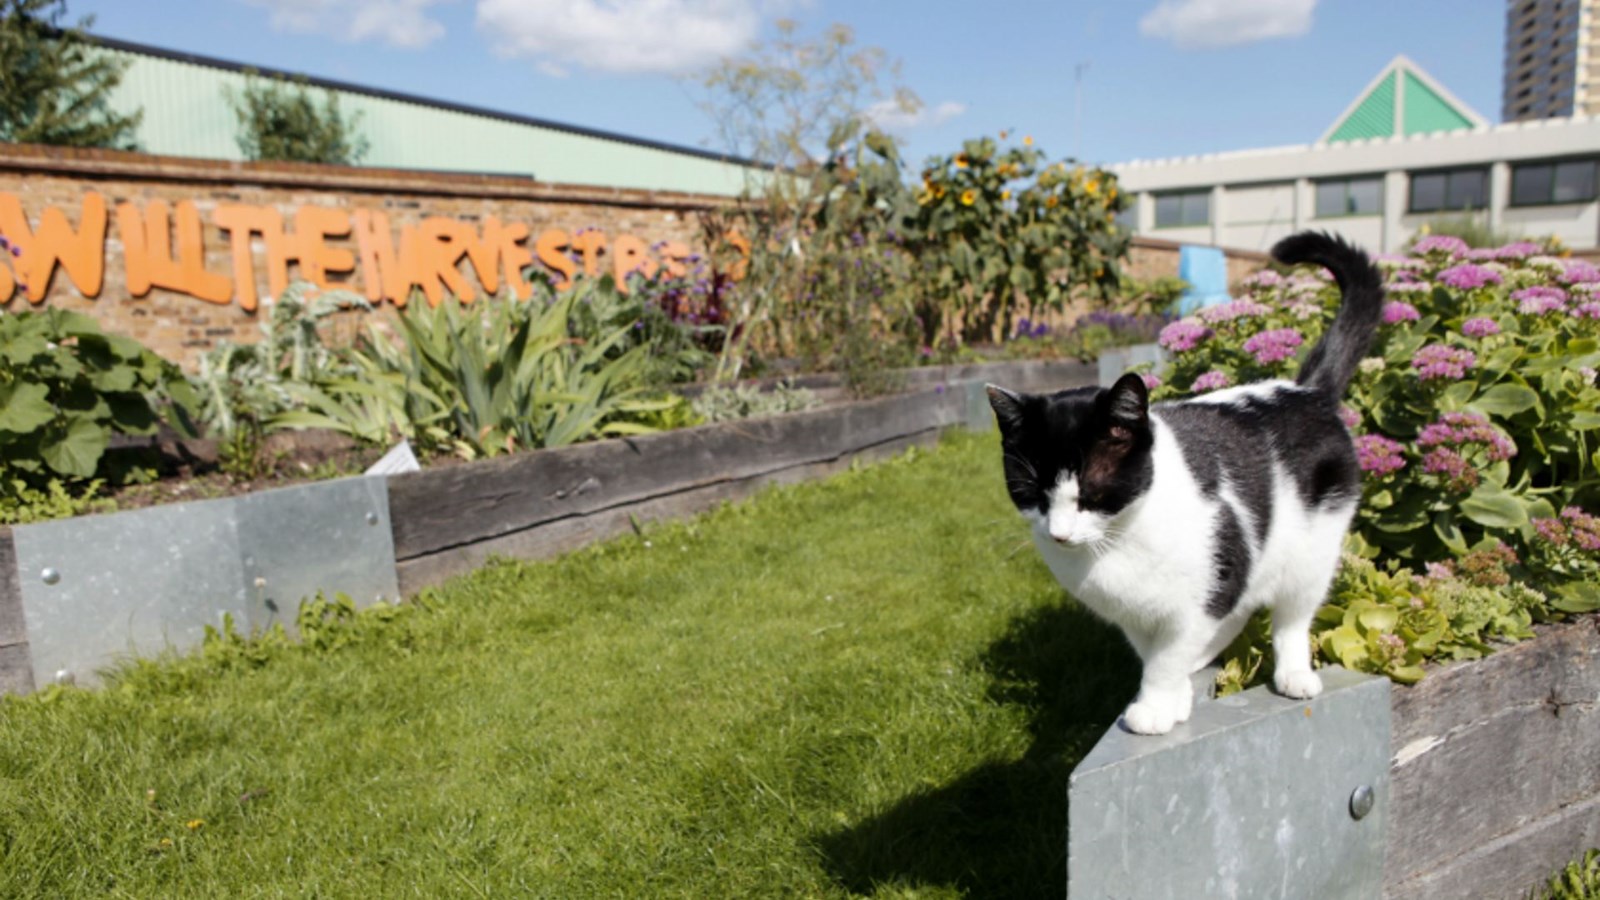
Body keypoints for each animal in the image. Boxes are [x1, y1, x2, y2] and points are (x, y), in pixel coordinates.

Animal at [985, 229, 1376, 730]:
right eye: (1032, 492)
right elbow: (1154, 653)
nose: (1059, 534)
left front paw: (1153, 707)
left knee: (1292, 615)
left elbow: (1168, 656)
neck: (1117, 542)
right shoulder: (1133, 615)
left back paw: (1294, 673)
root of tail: (1304, 390)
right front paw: (1174, 698)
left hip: (1312, 549)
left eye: (1091, 491)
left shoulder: (1204, 592)